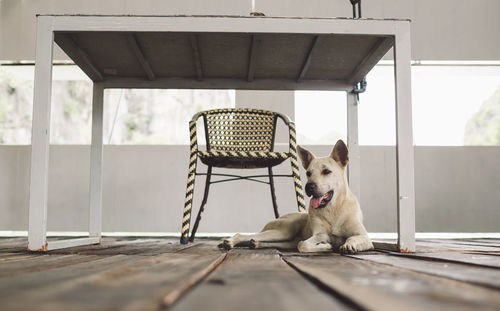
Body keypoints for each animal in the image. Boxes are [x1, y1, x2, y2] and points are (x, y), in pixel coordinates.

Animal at [219, 140, 372, 255]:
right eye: (308, 173)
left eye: (326, 171)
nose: (309, 186)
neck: (333, 208)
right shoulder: (316, 235)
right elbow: (303, 244)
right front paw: (327, 246)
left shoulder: (365, 237)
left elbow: (353, 238)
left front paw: (348, 245)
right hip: (283, 231)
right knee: (245, 235)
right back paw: (231, 241)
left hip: (285, 239)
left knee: (273, 242)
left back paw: (256, 243)